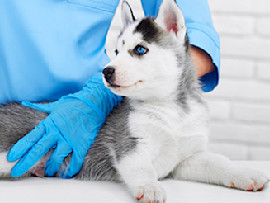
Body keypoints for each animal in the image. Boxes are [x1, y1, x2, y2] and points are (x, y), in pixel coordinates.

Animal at [0, 0, 268, 202]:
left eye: (140, 49)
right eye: (117, 52)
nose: (106, 71)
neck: (172, 111)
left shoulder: (187, 158)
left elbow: (218, 162)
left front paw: (245, 173)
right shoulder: (130, 145)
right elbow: (141, 168)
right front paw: (150, 187)